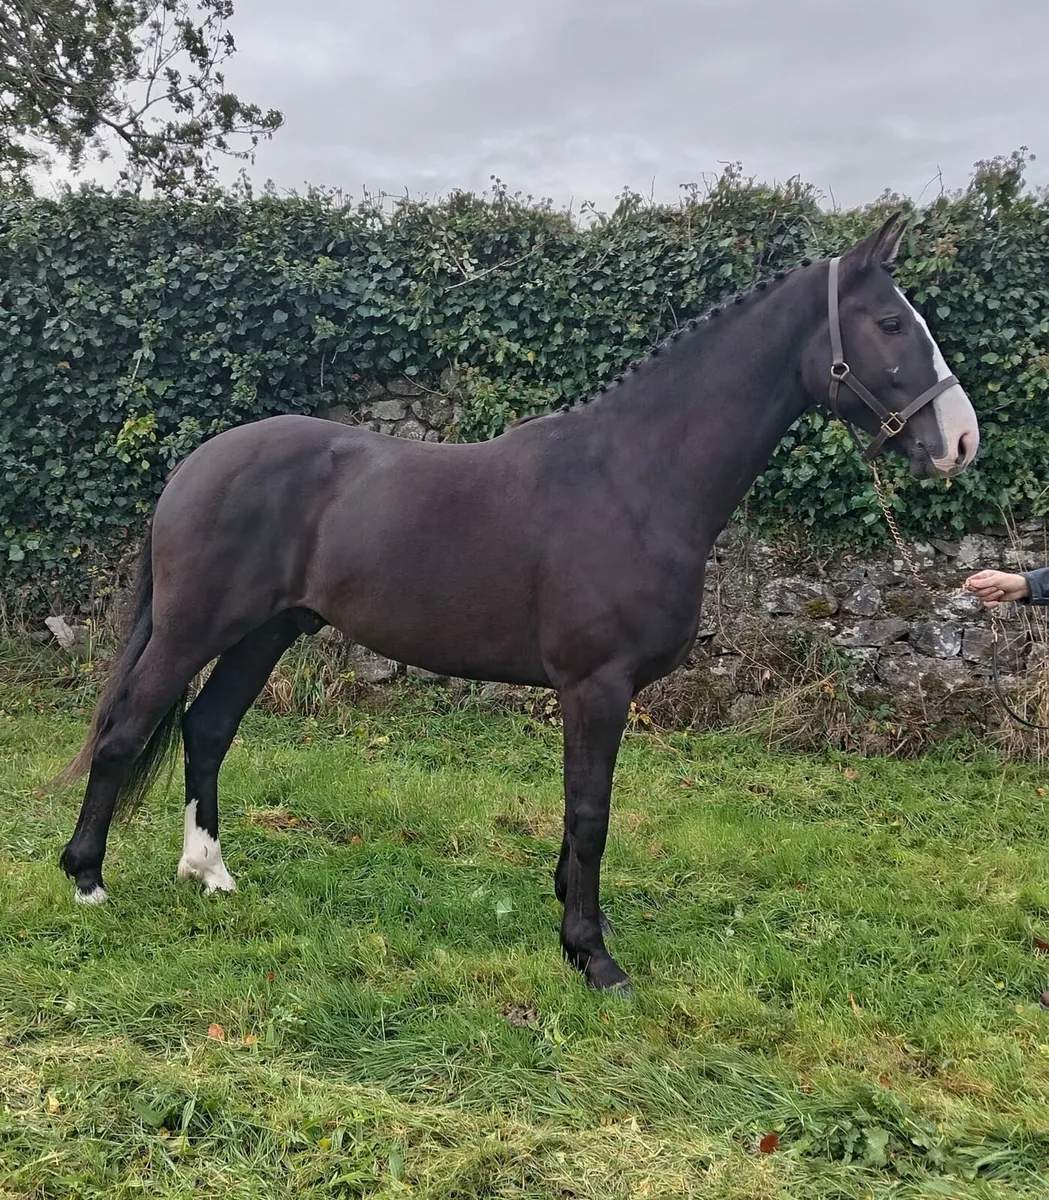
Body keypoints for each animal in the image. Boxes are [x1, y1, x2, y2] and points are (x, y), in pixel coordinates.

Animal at [54, 212, 980, 992]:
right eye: (890, 324)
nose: (960, 441)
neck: (635, 480)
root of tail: (195, 465)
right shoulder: (596, 686)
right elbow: (591, 814)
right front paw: (593, 957)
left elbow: (579, 819)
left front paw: (574, 922)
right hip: (194, 626)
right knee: (130, 727)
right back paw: (87, 878)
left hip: (266, 631)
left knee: (207, 729)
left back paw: (209, 872)